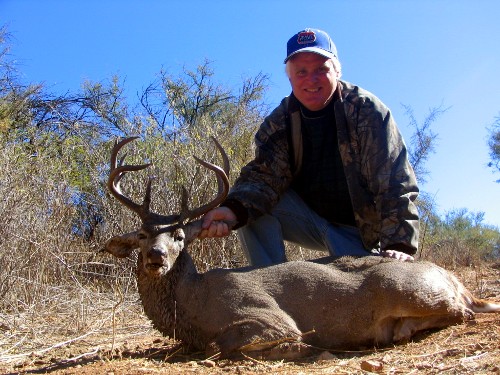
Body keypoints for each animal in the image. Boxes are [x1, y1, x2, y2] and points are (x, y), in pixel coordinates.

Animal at [102, 137, 500, 360]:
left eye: (180, 237)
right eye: (142, 235)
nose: (156, 257)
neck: (195, 305)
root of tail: (456, 281)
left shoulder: (267, 317)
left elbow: (224, 344)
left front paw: (305, 348)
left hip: (402, 287)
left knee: (462, 312)